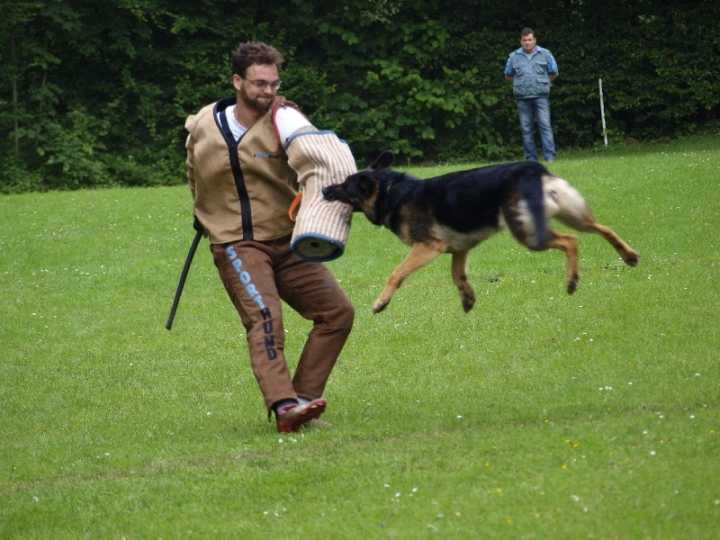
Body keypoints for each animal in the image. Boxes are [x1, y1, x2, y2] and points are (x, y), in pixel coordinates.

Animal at [324, 151, 640, 312]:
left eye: (344, 185)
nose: (325, 189)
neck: (392, 192)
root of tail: (529, 167)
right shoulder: (459, 249)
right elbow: (458, 276)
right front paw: (467, 299)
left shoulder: (427, 247)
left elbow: (396, 273)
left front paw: (381, 302)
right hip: (571, 214)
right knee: (602, 228)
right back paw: (629, 256)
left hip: (529, 232)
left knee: (570, 241)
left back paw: (572, 281)